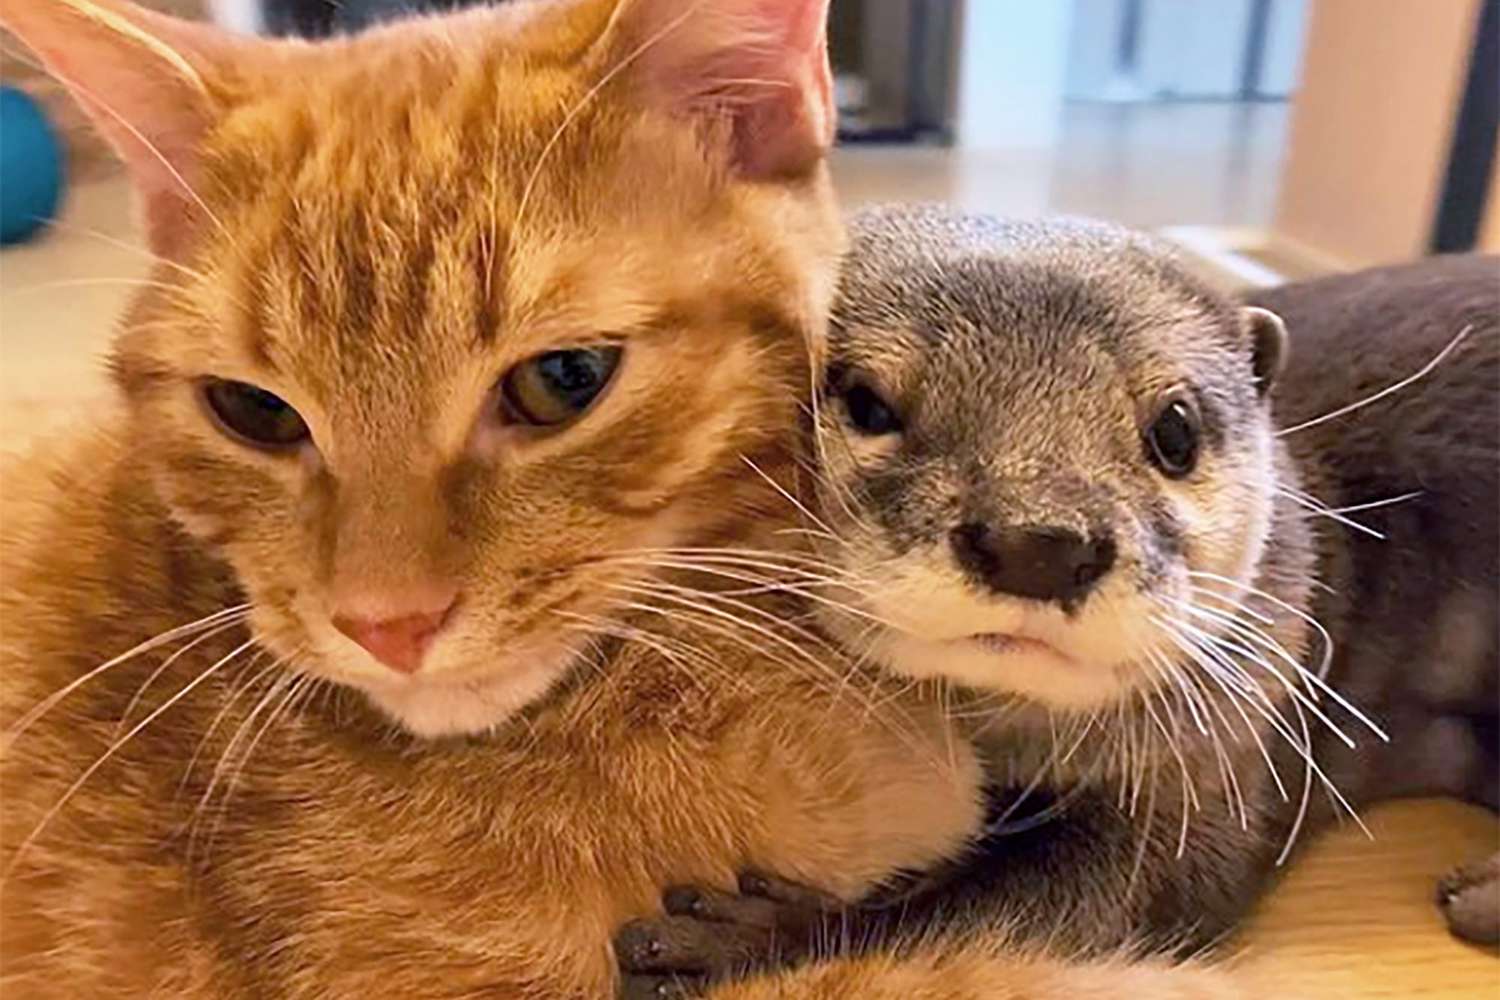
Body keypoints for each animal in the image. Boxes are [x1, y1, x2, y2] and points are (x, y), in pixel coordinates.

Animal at [615, 205, 1494, 995]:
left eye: (1176, 429)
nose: (1039, 542)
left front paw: (755, 942)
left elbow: (1018, 913)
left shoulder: (1213, 765)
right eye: (866, 402)